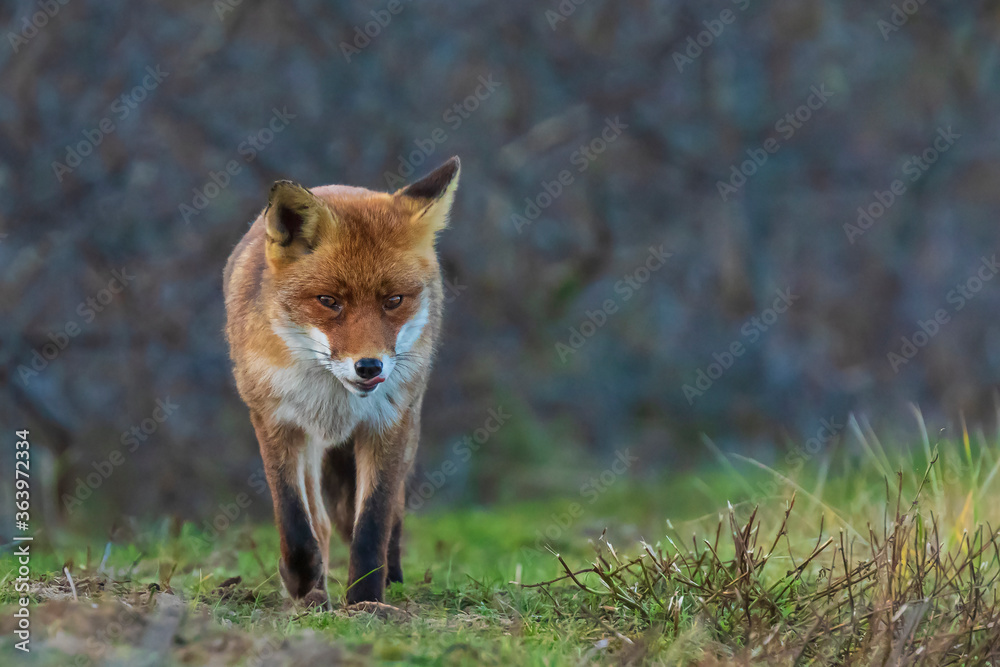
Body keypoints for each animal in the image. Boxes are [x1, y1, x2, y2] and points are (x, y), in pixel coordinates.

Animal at [224, 159, 460, 608]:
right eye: (329, 301)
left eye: (394, 301)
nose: (369, 367)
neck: (334, 399)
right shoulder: (275, 421)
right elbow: (295, 519)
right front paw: (303, 582)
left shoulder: (387, 425)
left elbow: (372, 524)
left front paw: (366, 601)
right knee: (320, 520)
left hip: (408, 430)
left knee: (391, 515)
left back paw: (392, 579)